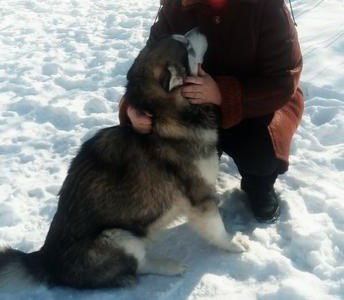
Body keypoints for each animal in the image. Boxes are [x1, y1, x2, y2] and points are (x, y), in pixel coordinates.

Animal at [0, 28, 249, 290]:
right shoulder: (200, 196)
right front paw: (234, 245)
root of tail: (45, 259)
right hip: (120, 237)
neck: (168, 117)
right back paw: (169, 266)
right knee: (140, 265)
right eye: (187, 47)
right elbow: (217, 229)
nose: (198, 29)